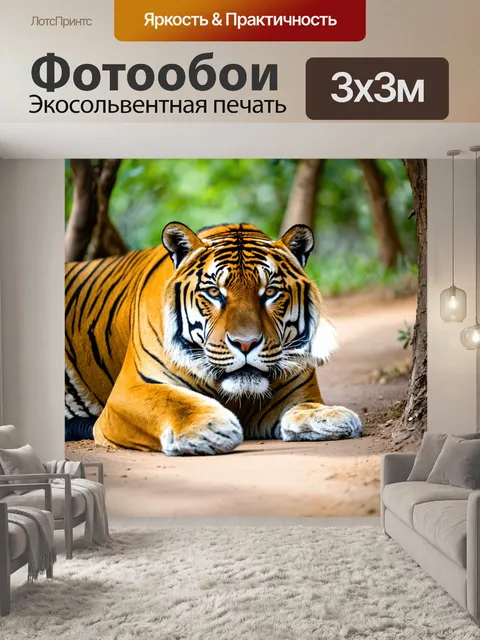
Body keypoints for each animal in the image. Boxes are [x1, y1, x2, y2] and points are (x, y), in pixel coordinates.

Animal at [65, 222, 362, 455]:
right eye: (214, 292)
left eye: (270, 292)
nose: (245, 343)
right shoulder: (129, 390)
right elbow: (171, 402)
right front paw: (211, 428)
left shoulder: (297, 392)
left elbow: (307, 406)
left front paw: (333, 417)